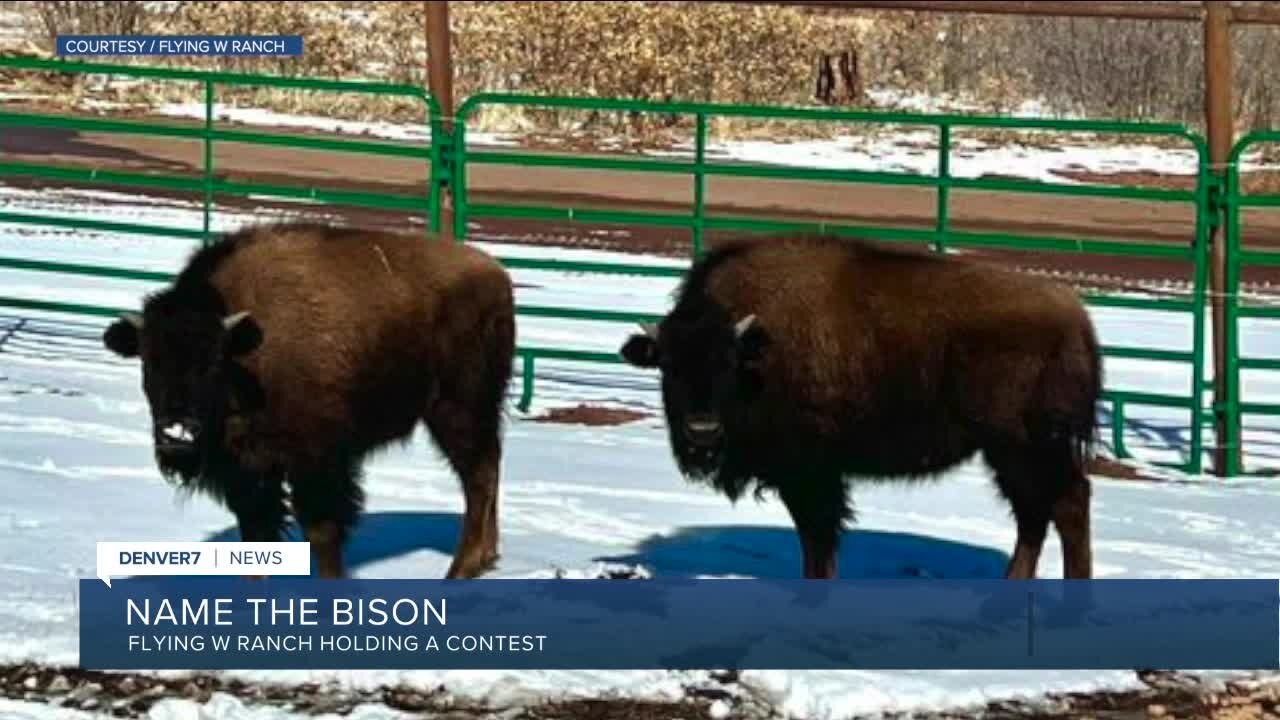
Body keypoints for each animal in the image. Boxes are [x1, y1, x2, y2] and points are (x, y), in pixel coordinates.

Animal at [102, 221, 514, 579]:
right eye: (149, 361)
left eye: (214, 361)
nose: (177, 434)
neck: (248, 352)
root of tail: (495, 274)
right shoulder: (249, 473)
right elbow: (256, 539)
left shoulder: (316, 464)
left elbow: (322, 533)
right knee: (489, 469)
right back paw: (485, 560)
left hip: (458, 410)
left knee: (479, 478)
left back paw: (460, 569)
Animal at [619, 233, 1100, 579]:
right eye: (668, 366)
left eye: (728, 366)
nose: (702, 431)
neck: (759, 353)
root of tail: (1074, 315)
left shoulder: (809, 474)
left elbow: (817, 540)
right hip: (1010, 454)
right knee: (1036, 514)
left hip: (1025, 447)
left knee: (1065, 505)